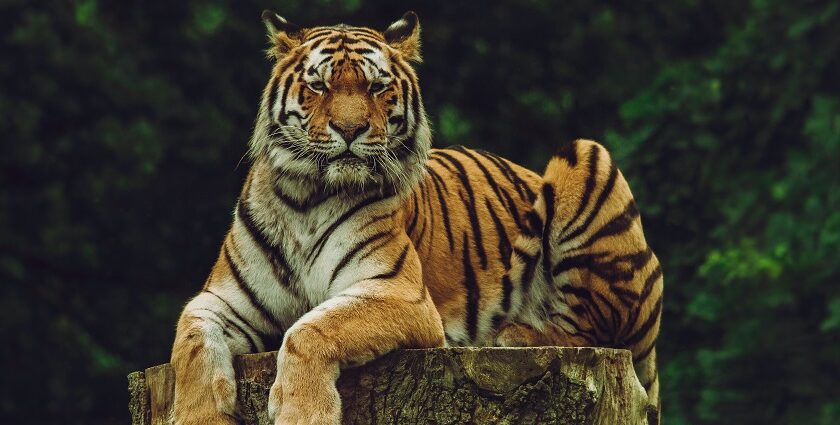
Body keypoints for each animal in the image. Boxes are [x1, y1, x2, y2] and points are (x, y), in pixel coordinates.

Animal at [171, 10, 668, 424]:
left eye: (376, 87)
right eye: (319, 86)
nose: (349, 130)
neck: (307, 198)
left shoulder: (398, 292)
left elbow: (308, 329)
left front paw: (303, 413)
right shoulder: (221, 300)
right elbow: (190, 344)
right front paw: (199, 417)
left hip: (586, 156)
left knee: (596, 332)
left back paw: (512, 335)